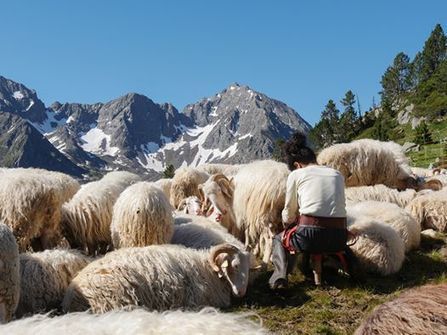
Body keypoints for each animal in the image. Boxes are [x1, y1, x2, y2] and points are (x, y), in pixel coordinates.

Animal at [62, 243, 252, 314]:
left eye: (249, 268)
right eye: (235, 265)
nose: (241, 292)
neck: (208, 270)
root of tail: (72, 295)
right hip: (116, 300)